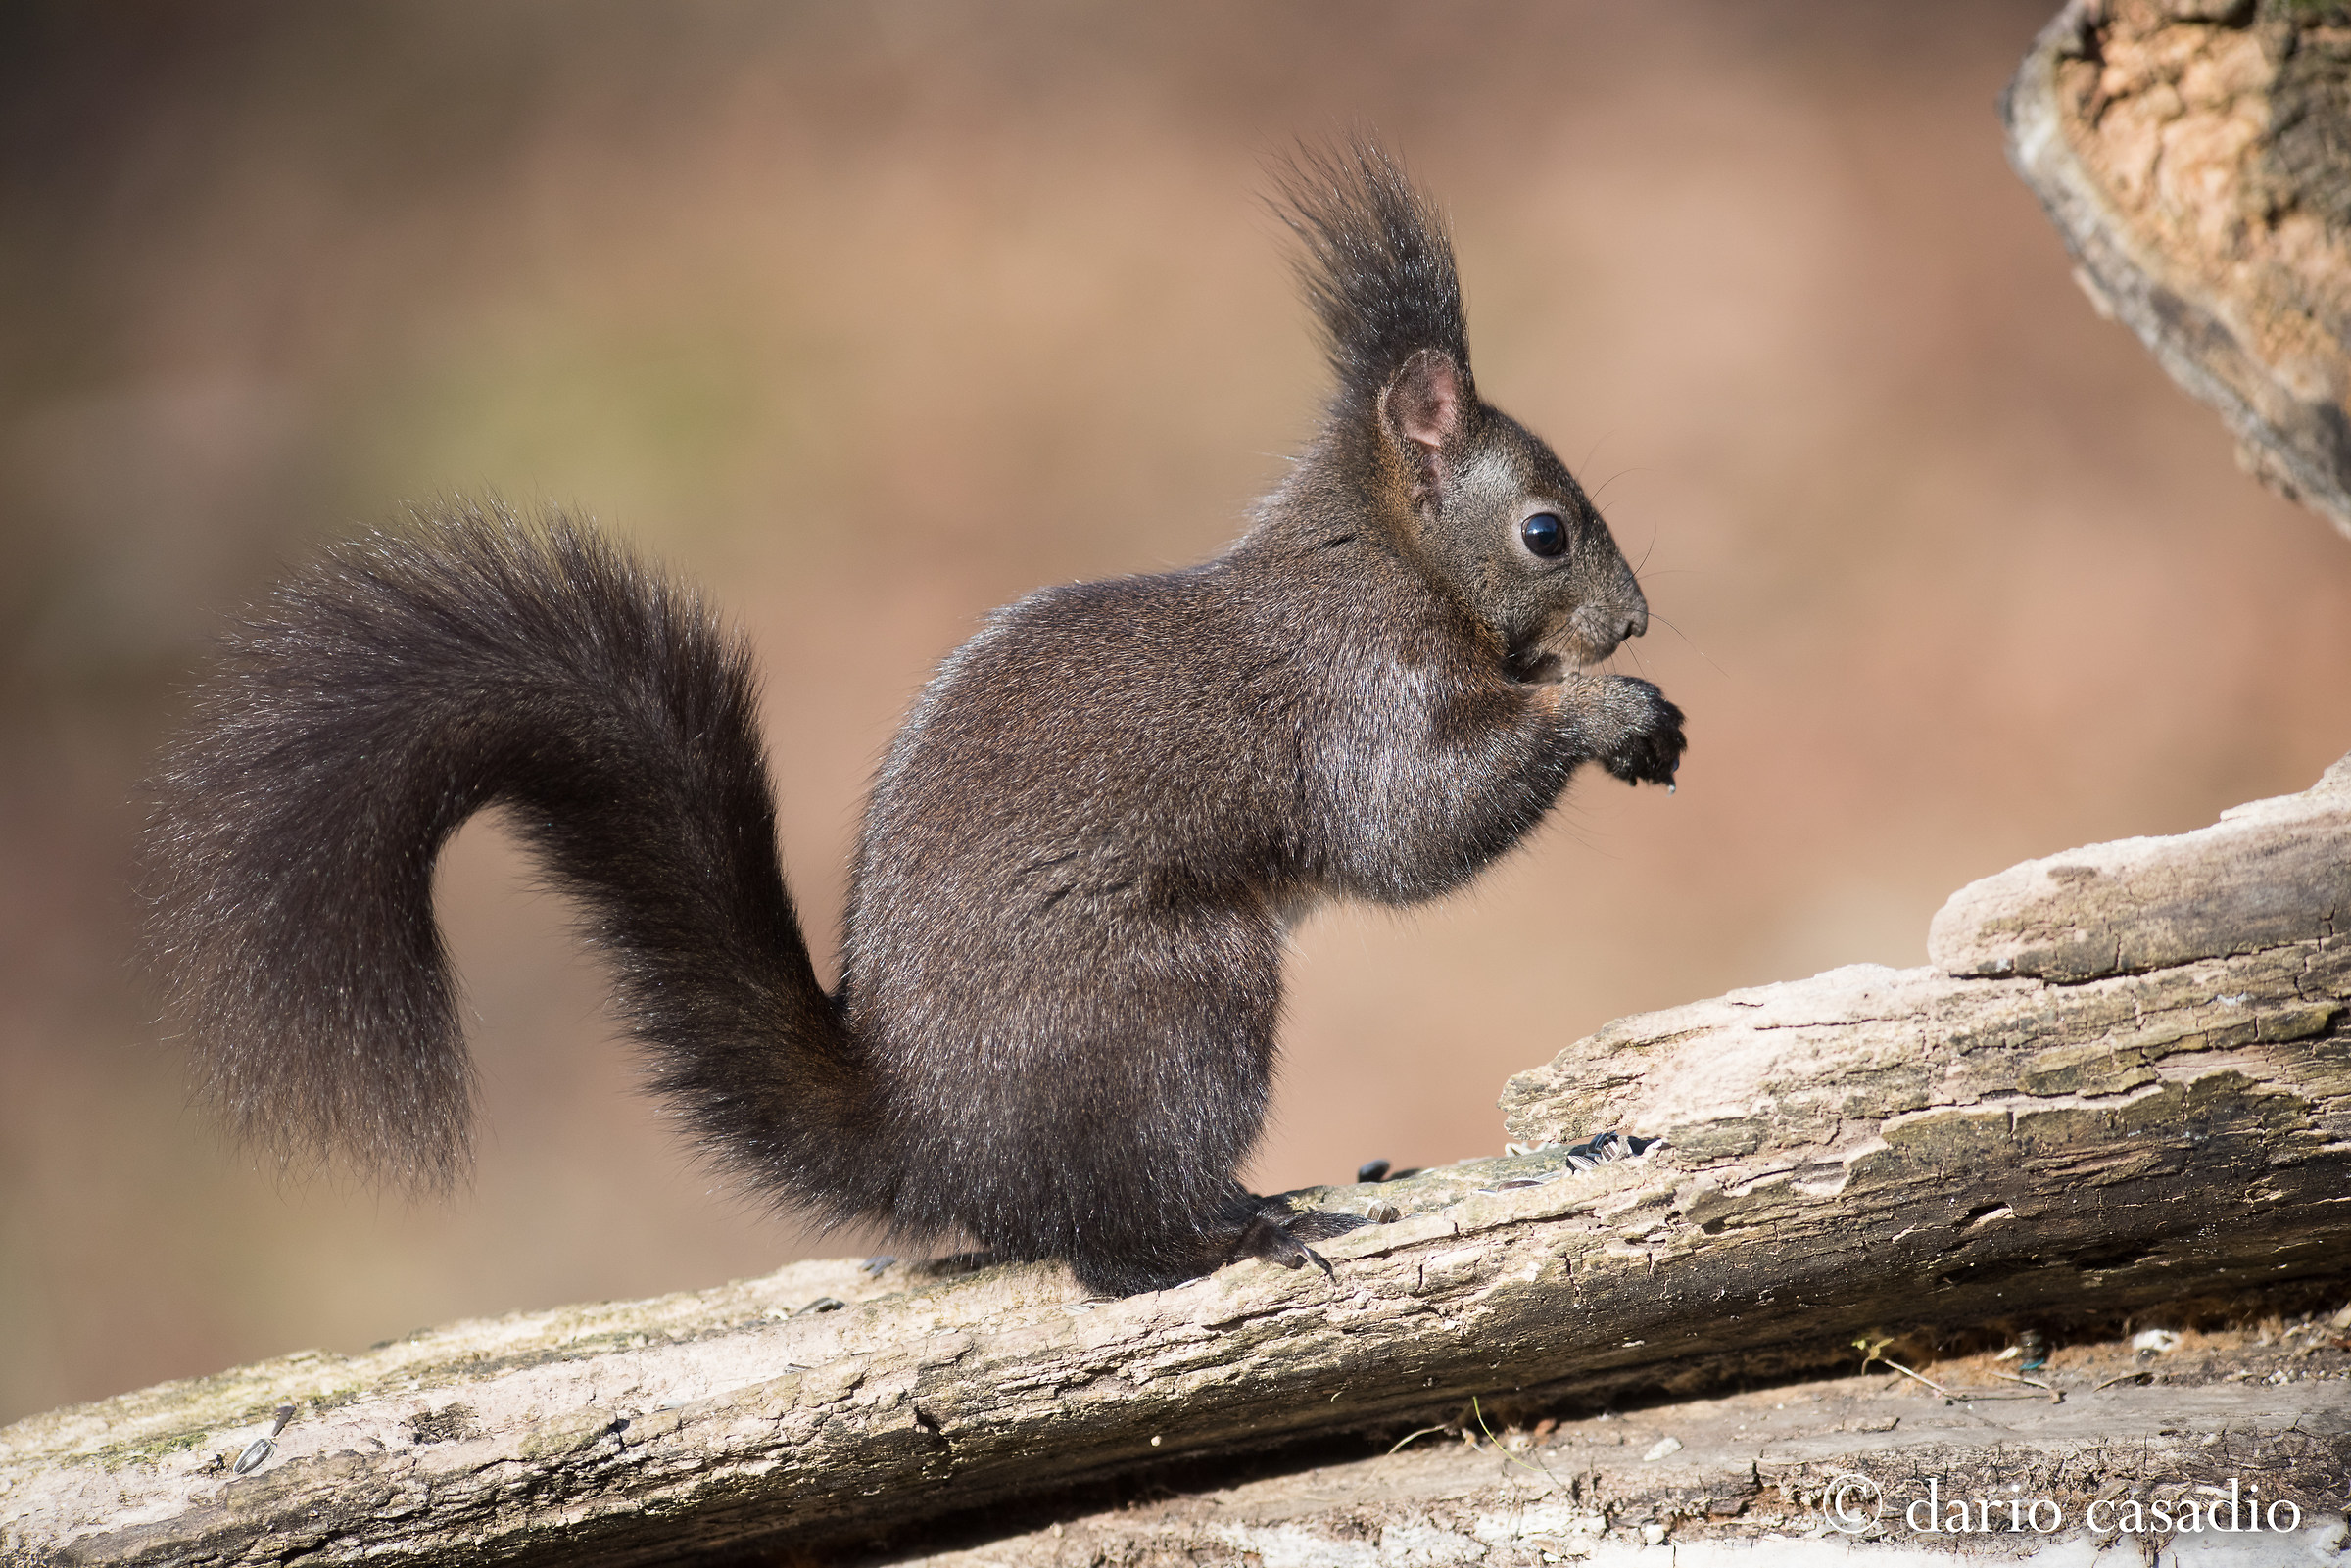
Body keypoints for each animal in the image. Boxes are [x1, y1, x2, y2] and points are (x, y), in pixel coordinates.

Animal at [140, 140, 1684, 1298]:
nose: (1635, 621)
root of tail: (934, 1145)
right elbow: (1409, 830)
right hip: (1180, 1003)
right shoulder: (1355, 689)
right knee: (1101, 1247)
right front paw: (1603, 708)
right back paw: (1242, 1228)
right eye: (1547, 531)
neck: (1384, 553)